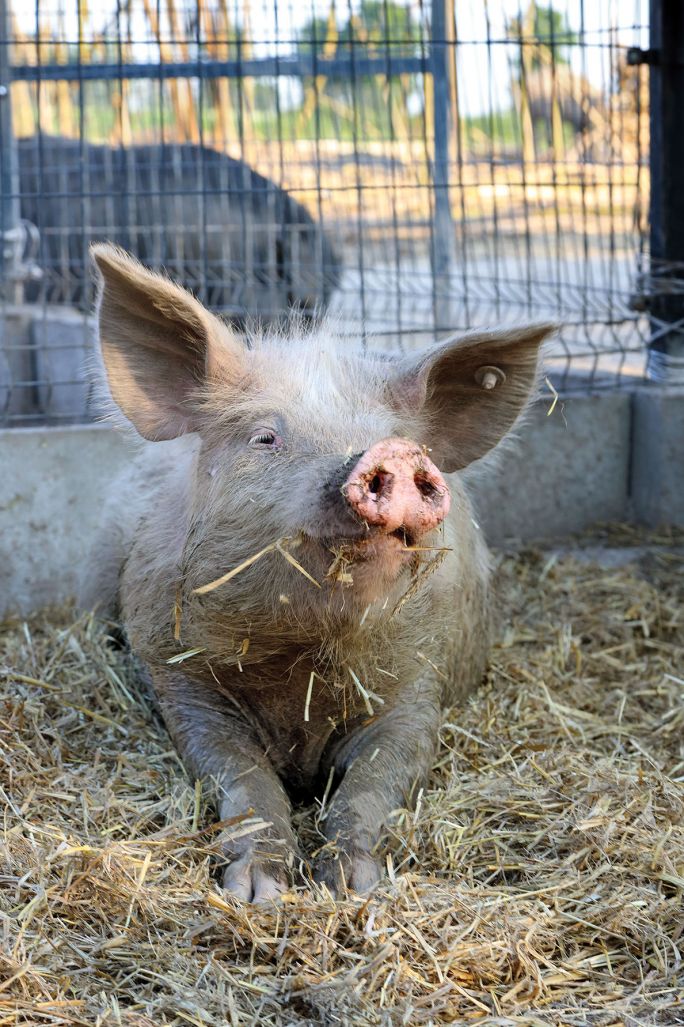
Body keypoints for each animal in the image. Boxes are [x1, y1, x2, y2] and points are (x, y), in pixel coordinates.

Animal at [82, 244, 550, 903]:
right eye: (265, 437)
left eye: (401, 440)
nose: (393, 454)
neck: (303, 666)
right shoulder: (178, 678)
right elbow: (242, 779)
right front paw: (257, 893)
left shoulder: (419, 684)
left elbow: (376, 782)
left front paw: (352, 887)